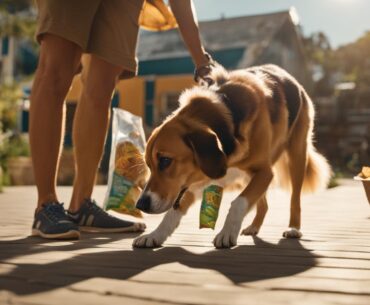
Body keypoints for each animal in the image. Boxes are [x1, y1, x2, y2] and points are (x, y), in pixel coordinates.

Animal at [133, 63, 330, 247]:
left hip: (296, 157)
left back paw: (293, 228)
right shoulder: (196, 179)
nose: (140, 205)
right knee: (263, 204)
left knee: (295, 200)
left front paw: (227, 232)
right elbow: (172, 213)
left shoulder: (265, 172)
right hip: (250, 176)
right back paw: (254, 226)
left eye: (165, 161)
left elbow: (238, 203)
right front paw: (155, 235)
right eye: (149, 165)